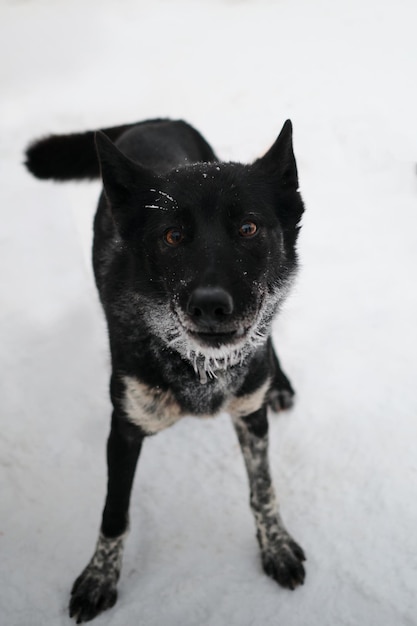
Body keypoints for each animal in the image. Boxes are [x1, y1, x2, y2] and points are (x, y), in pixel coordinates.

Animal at [25, 117, 306, 620]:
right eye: (172, 236)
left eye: (249, 227)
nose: (211, 305)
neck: (199, 367)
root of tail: (158, 119)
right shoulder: (124, 429)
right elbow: (114, 514)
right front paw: (99, 578)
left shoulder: (250, 417)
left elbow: (263, 491)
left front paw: (275, 547)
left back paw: (280, 383)